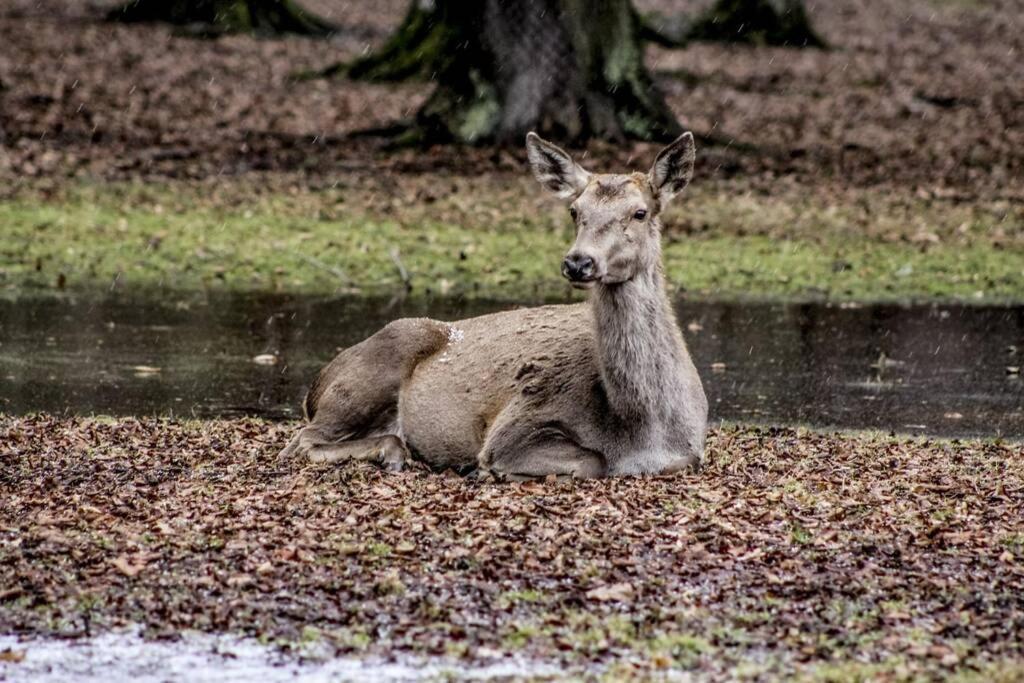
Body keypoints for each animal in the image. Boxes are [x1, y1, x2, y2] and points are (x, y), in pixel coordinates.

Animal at [280, 131, 712, 479]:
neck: (642, 427)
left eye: (639, 212)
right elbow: (593, 461)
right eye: (575, 211)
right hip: (369, 373)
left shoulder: (691, 451)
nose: (578, 262)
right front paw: (486, 470)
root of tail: (315, 388)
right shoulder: (516, 424)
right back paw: (394, 452)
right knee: (300, 441)